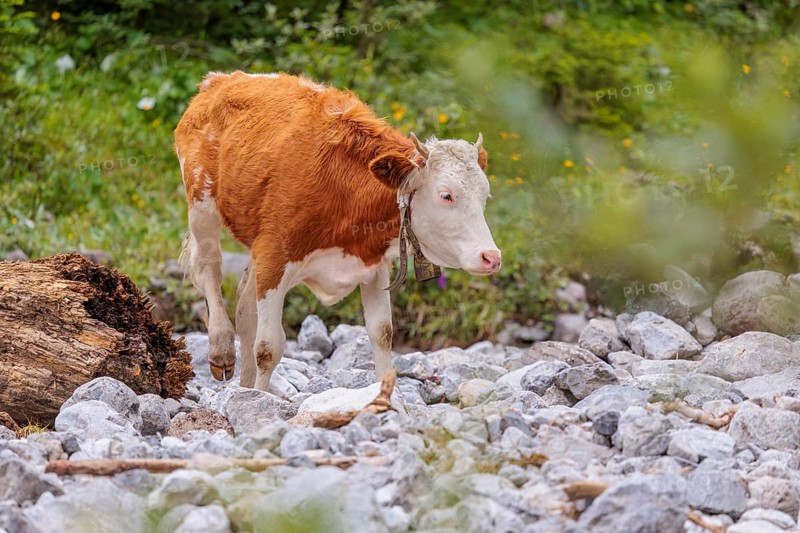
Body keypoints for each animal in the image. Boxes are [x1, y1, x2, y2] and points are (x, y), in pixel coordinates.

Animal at [175, 71, 501, 391]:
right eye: (446, 195)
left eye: (485, 195)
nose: (492, 257)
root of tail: (221, 79)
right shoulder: (274, 255)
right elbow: (269, 346)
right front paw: (258, 400)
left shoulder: (371, 263)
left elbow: (382, 334)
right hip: (202, 205)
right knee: (209, 267)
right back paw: (222, 350)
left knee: (244, 306)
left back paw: (244, 383)